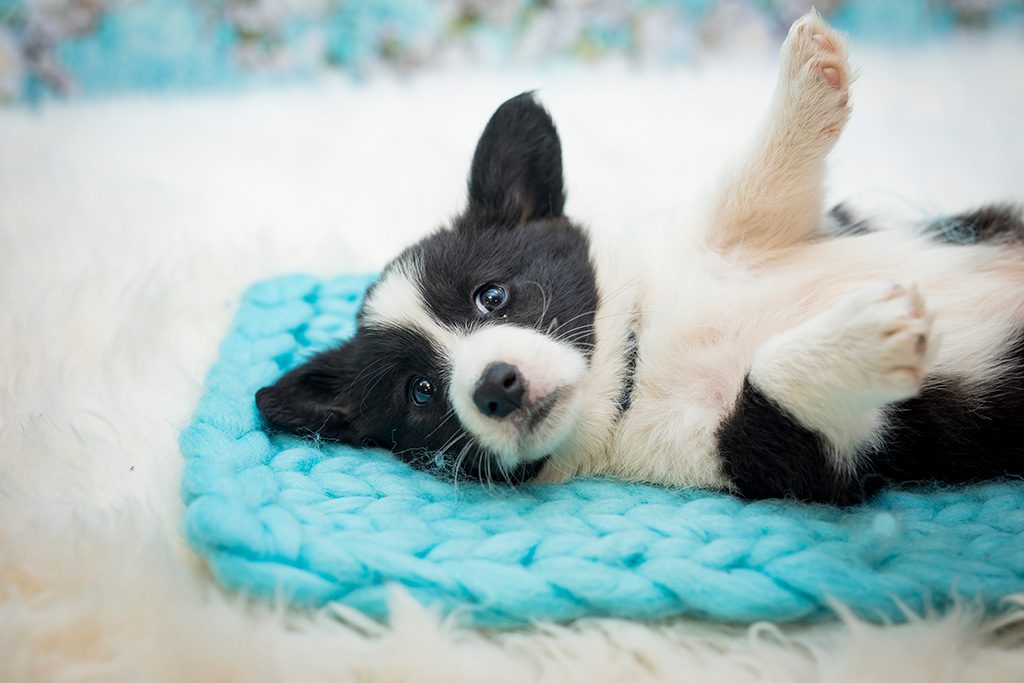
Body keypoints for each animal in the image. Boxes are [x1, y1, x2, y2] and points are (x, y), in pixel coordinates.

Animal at [256, 9, 1024, 501]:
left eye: (491, 296)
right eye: (419, 393)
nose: (496, 386)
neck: (635, 367)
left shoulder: (754, 238)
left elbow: (751, 192)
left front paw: (807, 75)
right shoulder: (787, 456)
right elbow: (774, 383)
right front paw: (868, 334)